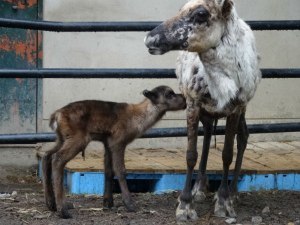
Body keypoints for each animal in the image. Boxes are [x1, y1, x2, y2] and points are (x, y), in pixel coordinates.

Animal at [42, 85, 186, 218]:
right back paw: (63, 211)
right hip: (77, 139)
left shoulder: (107, 143)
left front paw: (108, 203)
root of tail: (56, 116)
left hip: (61, 138)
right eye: (169, 94)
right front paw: (130, 204)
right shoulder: (118, 142)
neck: (137, 118)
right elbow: (121, 171)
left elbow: (108, 171)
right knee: (57, 159)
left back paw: (51, 204)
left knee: (47, 155)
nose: (185, 100)